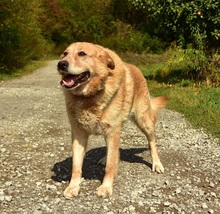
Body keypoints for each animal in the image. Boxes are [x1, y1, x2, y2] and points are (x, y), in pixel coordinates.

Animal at [56, 41, 167, 199]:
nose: (61, 64)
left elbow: (110, 165)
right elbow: (76, 165)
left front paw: (106, 186)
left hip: (143, 121)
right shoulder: (78, 134)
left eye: (82, 53)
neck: (89, 97)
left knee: (152, 143)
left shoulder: (112, 132)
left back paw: (157, 164)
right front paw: (73, 187)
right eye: (65, 53)